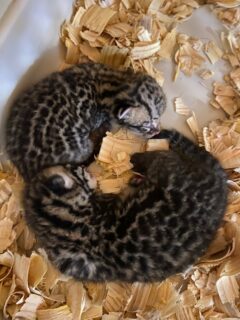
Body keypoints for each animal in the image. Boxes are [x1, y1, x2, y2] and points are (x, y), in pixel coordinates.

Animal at [6, 62, 167, 181]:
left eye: (157, 117)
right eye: (144, 126)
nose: (157, 131)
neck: (114, 84)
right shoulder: (102, 119)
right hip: (80, 147)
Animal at [23, 129, 228, 282]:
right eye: (77, 170)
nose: (84, 167)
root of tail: (217, 183)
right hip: (166, 164)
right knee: (157, 157)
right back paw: (138, 160)